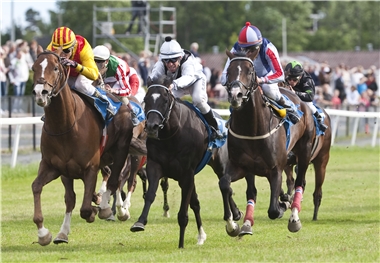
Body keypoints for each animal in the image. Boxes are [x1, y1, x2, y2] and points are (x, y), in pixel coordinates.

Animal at [29, 46, 139, 246]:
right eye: (34, 68)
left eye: (55, 68)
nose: (40, 93)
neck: (65, 126)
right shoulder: (56, 167)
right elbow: (45, 190)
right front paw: (48, 234)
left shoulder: (90, 168)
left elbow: (86, 209)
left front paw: (98, 208)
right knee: (111, 177)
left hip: (121, 151)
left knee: (116, 180)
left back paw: (112, 209)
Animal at [131, 77, 242, 250]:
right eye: (146, 100)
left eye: (165, 100)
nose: (151, 126)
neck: (171, 135)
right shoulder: (155, 166)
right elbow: (150, 195)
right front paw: (140, 222)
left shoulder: (187, 173)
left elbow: (184, 212)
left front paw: (181, 244)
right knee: (200, 200)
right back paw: (204, 234)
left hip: (220, 165)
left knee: (225, 187)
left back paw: (232, 221)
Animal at [223, 50, 330, 236]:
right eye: (228, 71)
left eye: (250, 71)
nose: (236, 95)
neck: (252, 129)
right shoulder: (242, 166)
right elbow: (229, 185)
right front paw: (236, 224)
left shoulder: (276, 168)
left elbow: (273, 209)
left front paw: (283, 206)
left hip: (312, 156)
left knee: (302, 184)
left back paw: (295, 217)